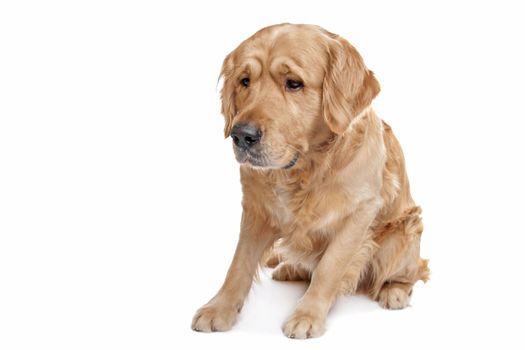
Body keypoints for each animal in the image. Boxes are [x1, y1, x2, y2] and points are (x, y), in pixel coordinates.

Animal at [190, 23, 428, 340]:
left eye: (293, 83)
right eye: (244, 81)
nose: (241, 135)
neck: (304, 170)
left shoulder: (359, 214)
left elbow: (329, 268)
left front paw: (307, 315)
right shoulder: (255, 209)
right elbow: (239, 264)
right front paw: (219, 308)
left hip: (402, 236)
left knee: (411, 271)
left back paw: (395, 291)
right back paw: (291, 268)